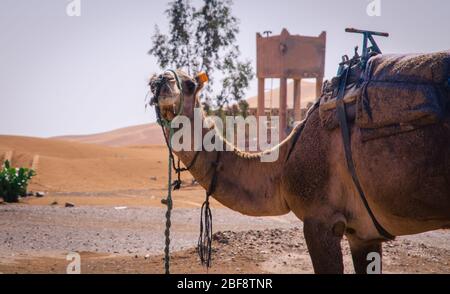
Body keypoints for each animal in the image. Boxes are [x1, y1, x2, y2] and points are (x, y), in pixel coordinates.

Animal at [150, 66, 450, 274]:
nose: (159, 82)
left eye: (190, 84)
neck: (284, 161)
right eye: (153, 80)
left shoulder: (321, 220)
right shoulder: (364, 233)